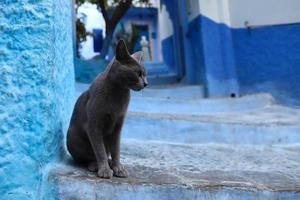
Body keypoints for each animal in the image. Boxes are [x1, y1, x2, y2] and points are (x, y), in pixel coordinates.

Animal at [67, 39, 148, 179]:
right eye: (138, 73)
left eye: (145, 74)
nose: (146, 83)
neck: (119, 93)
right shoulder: (94, 125)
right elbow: (100, 150)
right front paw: (104, 170)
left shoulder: (118, 126)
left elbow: (116, 150)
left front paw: (118, 168)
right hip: (72, 135)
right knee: (87, 157)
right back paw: (94, 165)